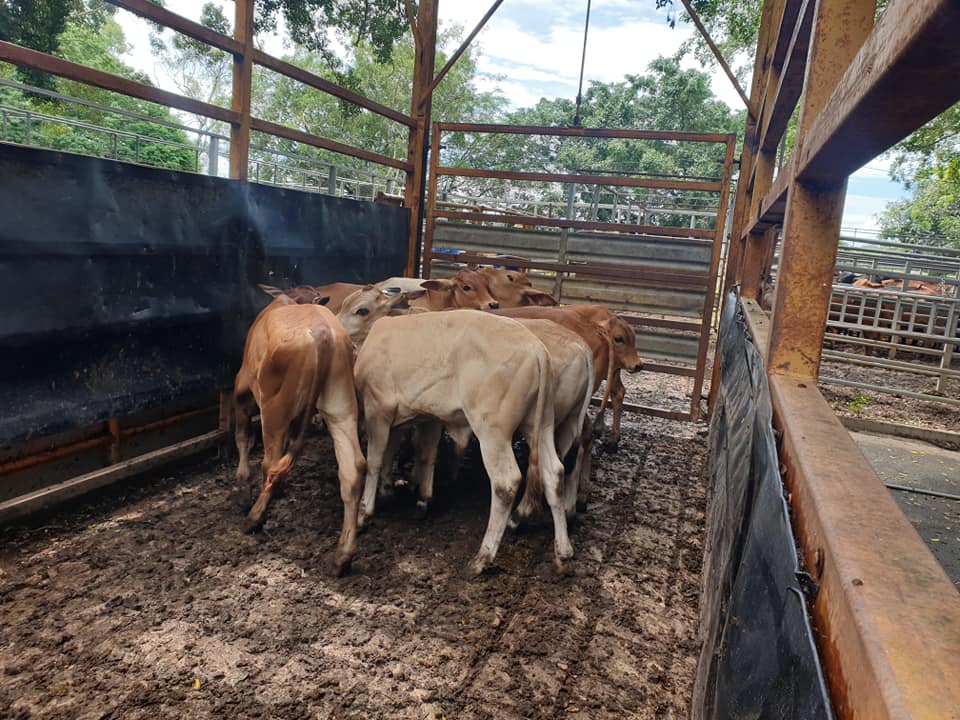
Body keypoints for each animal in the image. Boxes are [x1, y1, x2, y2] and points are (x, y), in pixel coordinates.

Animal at [233, 298, 365, 575]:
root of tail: (322, 331)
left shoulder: (241, 386)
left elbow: (242, 436)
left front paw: (242, 483)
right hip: (340, 407)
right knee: (353, 469)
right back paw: (342, 557)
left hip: (274, 407)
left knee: (271, 462)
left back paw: (255, 516)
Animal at [353, 310, 573, 575]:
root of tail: (535, 347)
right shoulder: (421, 416)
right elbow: (416, 454)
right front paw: (406, 496)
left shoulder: (378, 408)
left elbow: (374, 460)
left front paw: (365, 512)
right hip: (541, 424)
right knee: (554, 473)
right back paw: (563, 553)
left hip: (492, 431)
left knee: (506, 482)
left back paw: (482, 558)